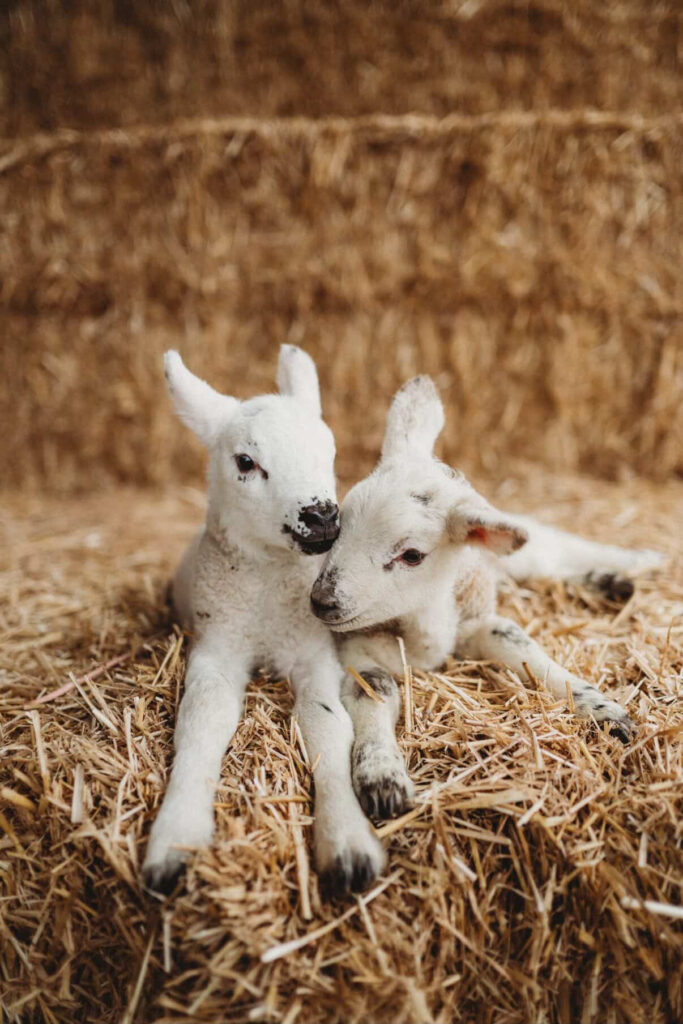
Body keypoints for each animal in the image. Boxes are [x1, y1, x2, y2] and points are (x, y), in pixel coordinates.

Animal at [143, 346, 384, 897]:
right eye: (245, 462)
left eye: (328, 449)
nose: (322, 516)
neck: (268, 596)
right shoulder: (217, 646)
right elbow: (202, 721)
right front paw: (175, 839)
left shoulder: (314, 652)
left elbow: (325, 723)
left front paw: (346, 843)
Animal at [310, 375, 662, 825]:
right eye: (340, 524)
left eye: (412, 556)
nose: (321, 600)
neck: (429, 624)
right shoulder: (356, 645)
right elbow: (375, 689)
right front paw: (382, 777)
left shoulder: (477, 620)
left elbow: (520, 643)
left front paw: (601, 709)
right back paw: (610, 583)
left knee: (556, 552)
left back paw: (636, 565)